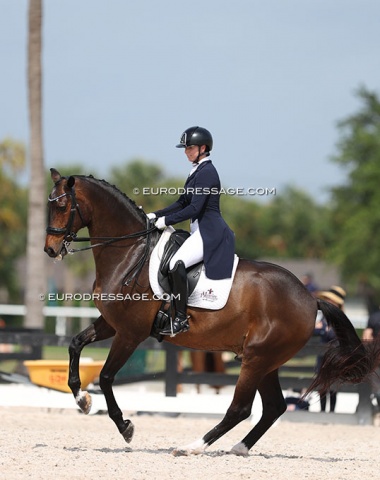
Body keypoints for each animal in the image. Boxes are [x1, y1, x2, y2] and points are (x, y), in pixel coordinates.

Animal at [43, 170, 380, 458]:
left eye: (62, 205)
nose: (50, 250)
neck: (130, 253)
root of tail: (310, 299)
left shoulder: (130, 333)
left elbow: (106, 376)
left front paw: (125, 427)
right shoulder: (111, 324)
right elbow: (75, 344)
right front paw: (82, 400)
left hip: (257, 358)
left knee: (241, 408)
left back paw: (192, 446)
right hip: (266, 360)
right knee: (274, 407)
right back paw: (239, 448)